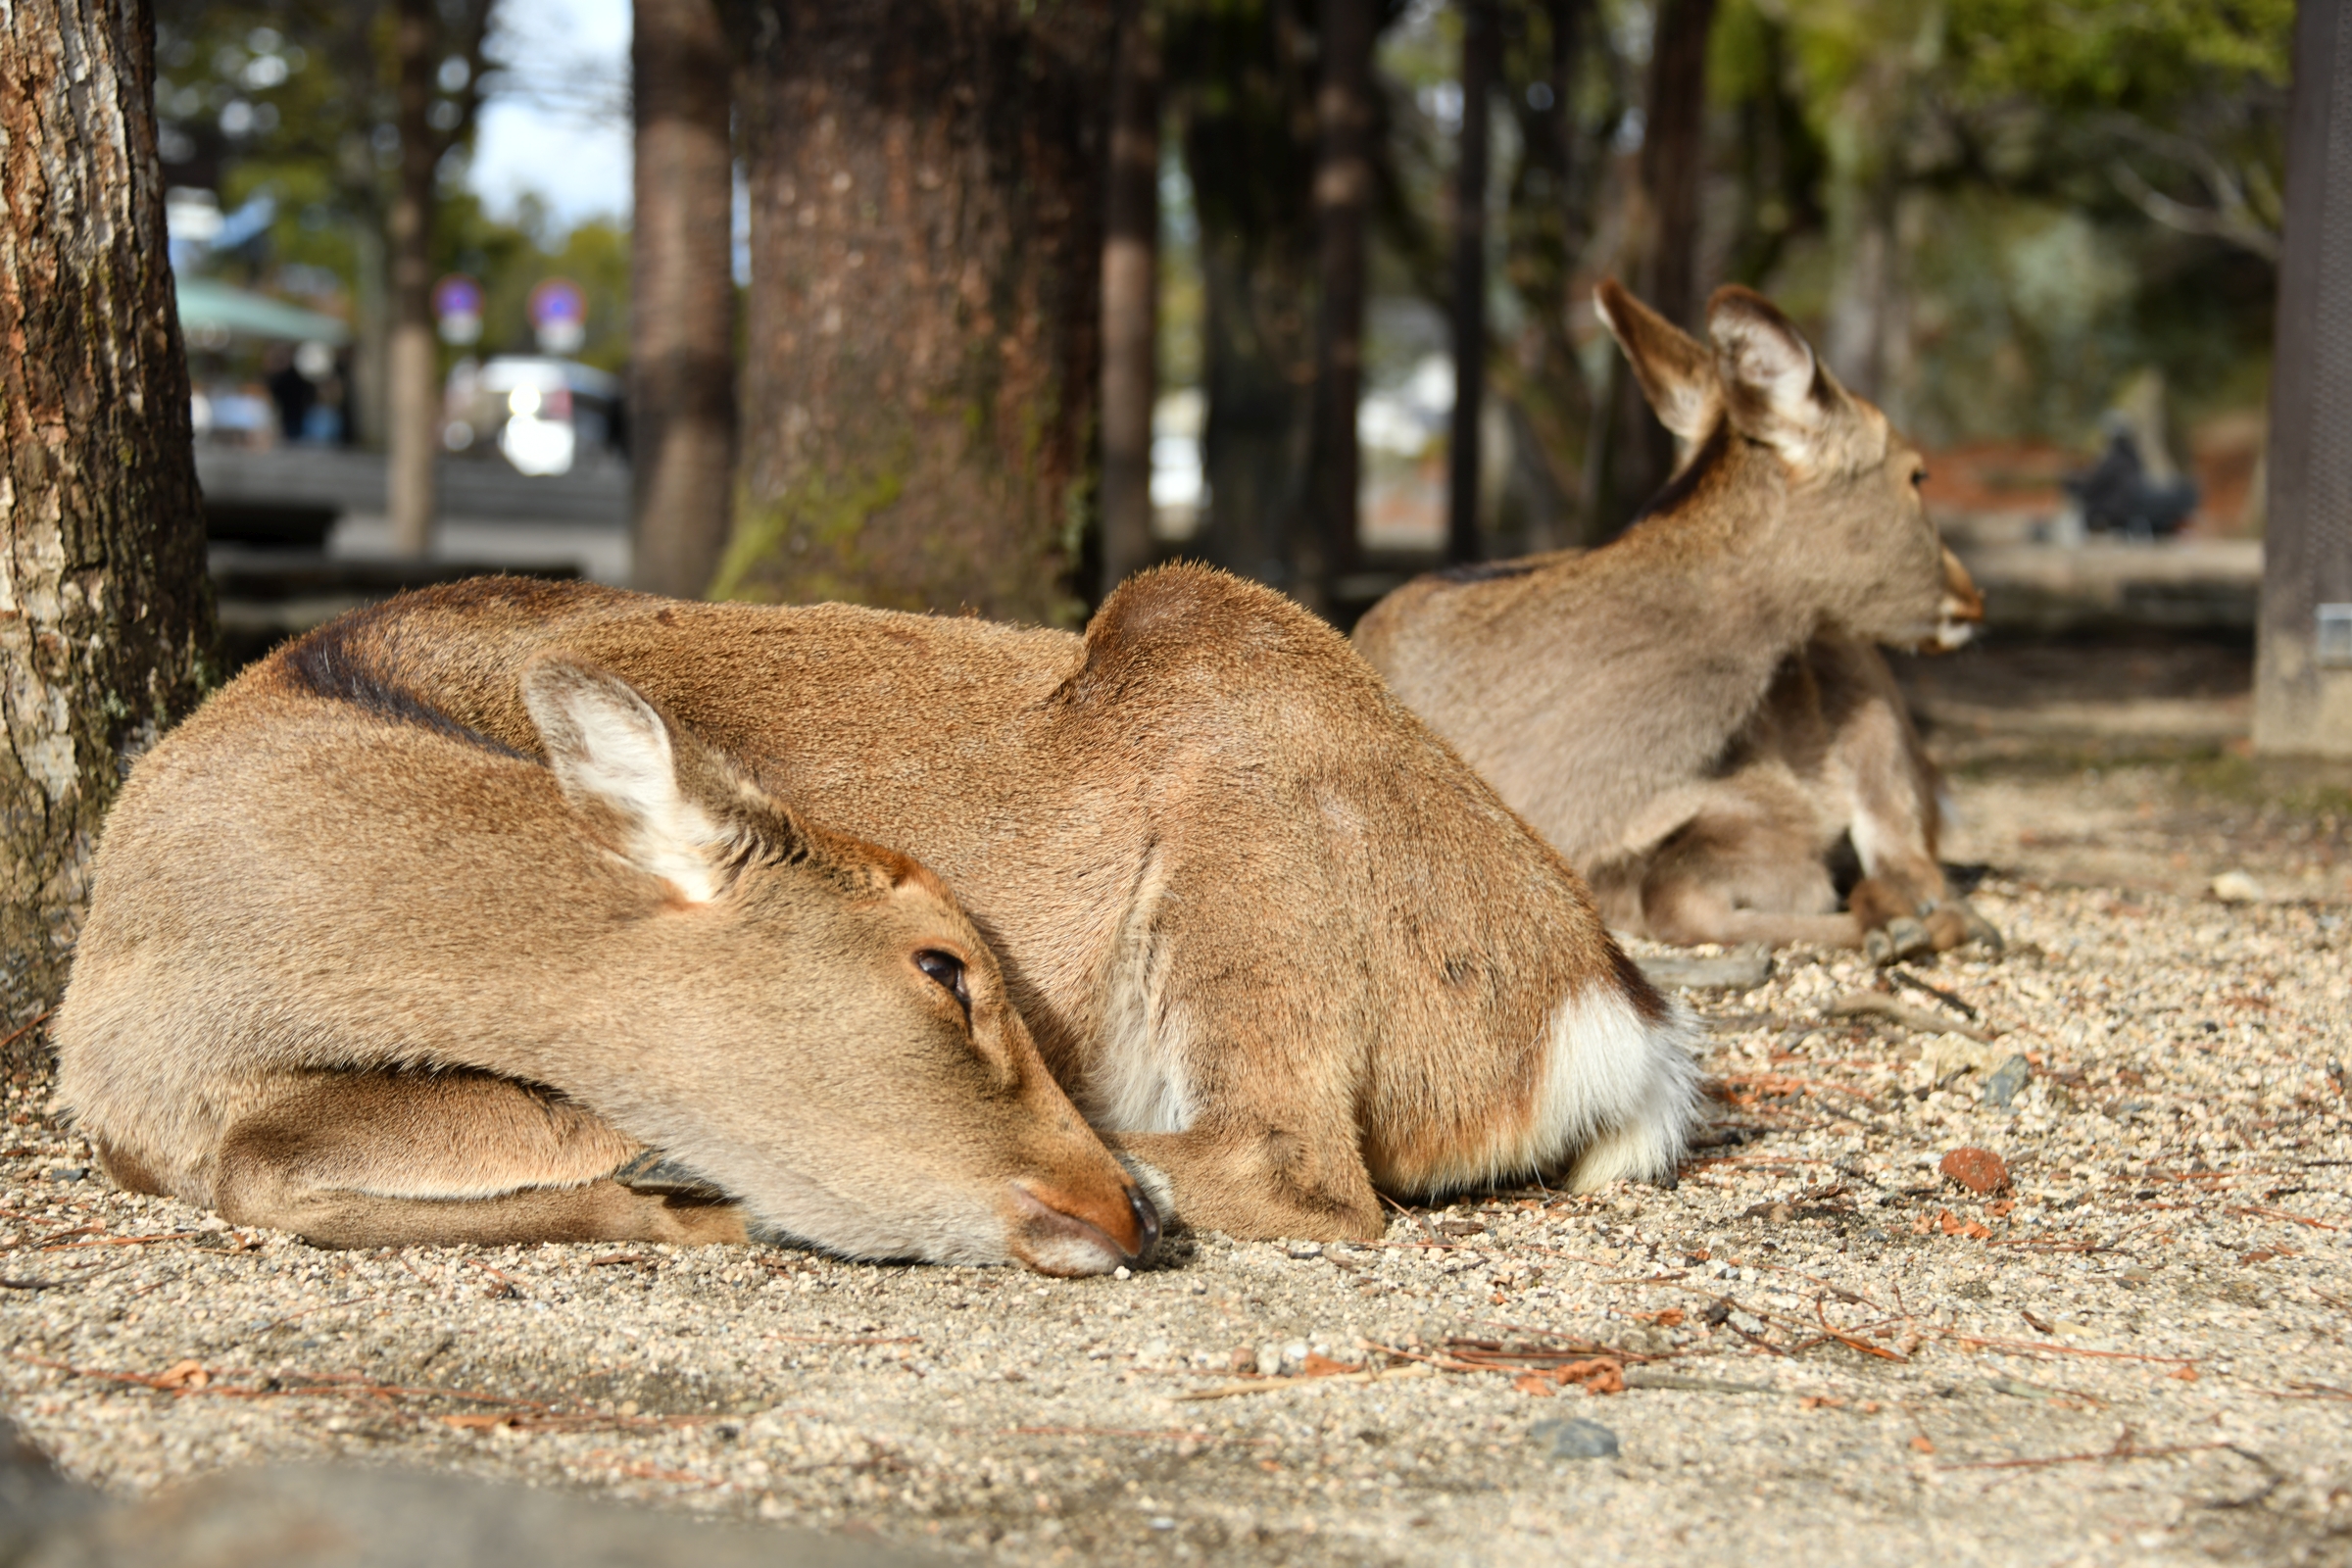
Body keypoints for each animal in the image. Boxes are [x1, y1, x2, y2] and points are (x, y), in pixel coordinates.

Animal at [1353, 281, 1999, 963]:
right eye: (1917, 474)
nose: (1973, 597)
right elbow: (1672, 898)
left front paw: (1903, 919)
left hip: (1879, 721)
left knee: (1912, 855)